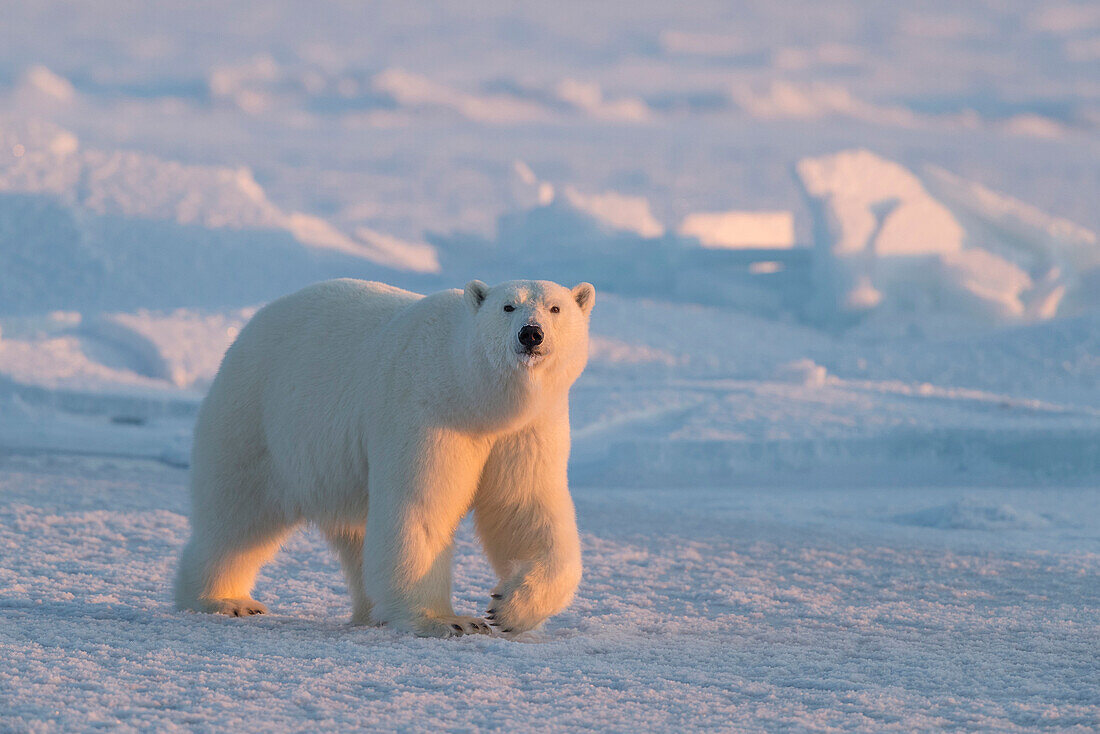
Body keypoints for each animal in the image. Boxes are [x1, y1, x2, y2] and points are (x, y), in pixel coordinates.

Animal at [173, 278, 594, 633]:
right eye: (508, 306)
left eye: (555, 308)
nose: (531, 334)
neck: (473, 395)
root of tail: (250, 326)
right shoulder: (425, 410)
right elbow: (421, 507)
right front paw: (448, 621)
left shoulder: (527, 429)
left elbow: (524, 508)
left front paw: (509, 607)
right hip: (259, 419)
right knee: (238, 516)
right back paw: (225, 600)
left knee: (353, 533)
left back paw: (371, 613)